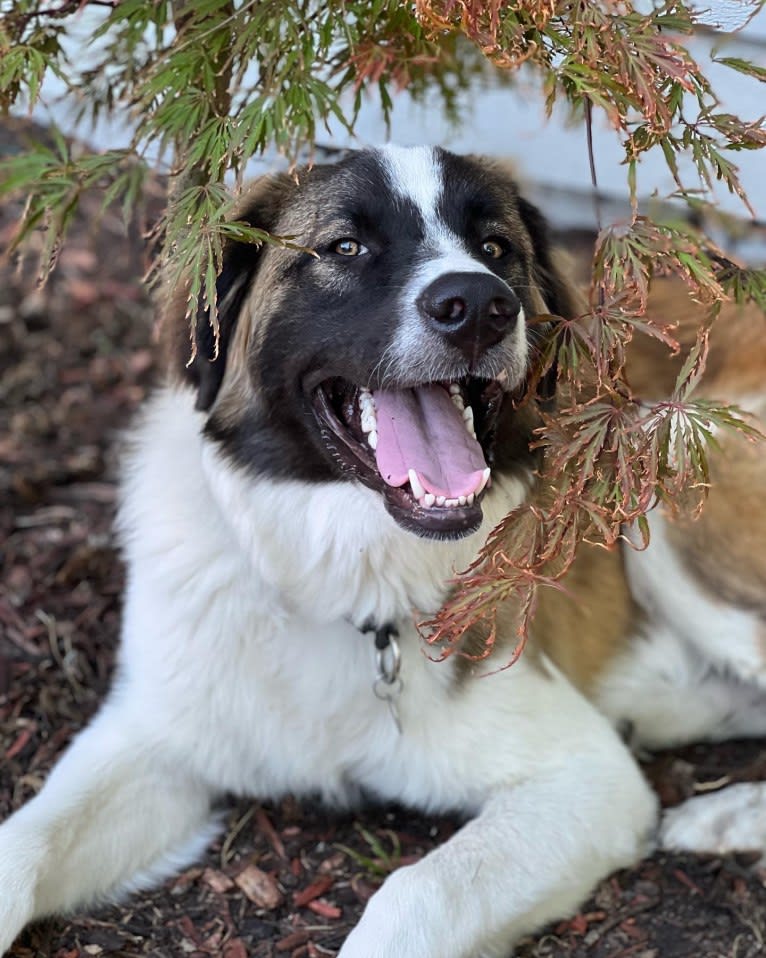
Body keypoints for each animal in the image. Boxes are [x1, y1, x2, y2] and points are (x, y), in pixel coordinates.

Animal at [1, 144, 766, 958]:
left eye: (495, 248)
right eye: (345, 248)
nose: (481, 306)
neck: (336, 566)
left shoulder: (586, 779)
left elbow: (416, 892)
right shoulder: (154, 738)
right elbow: (23, 848)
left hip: (668, 447)